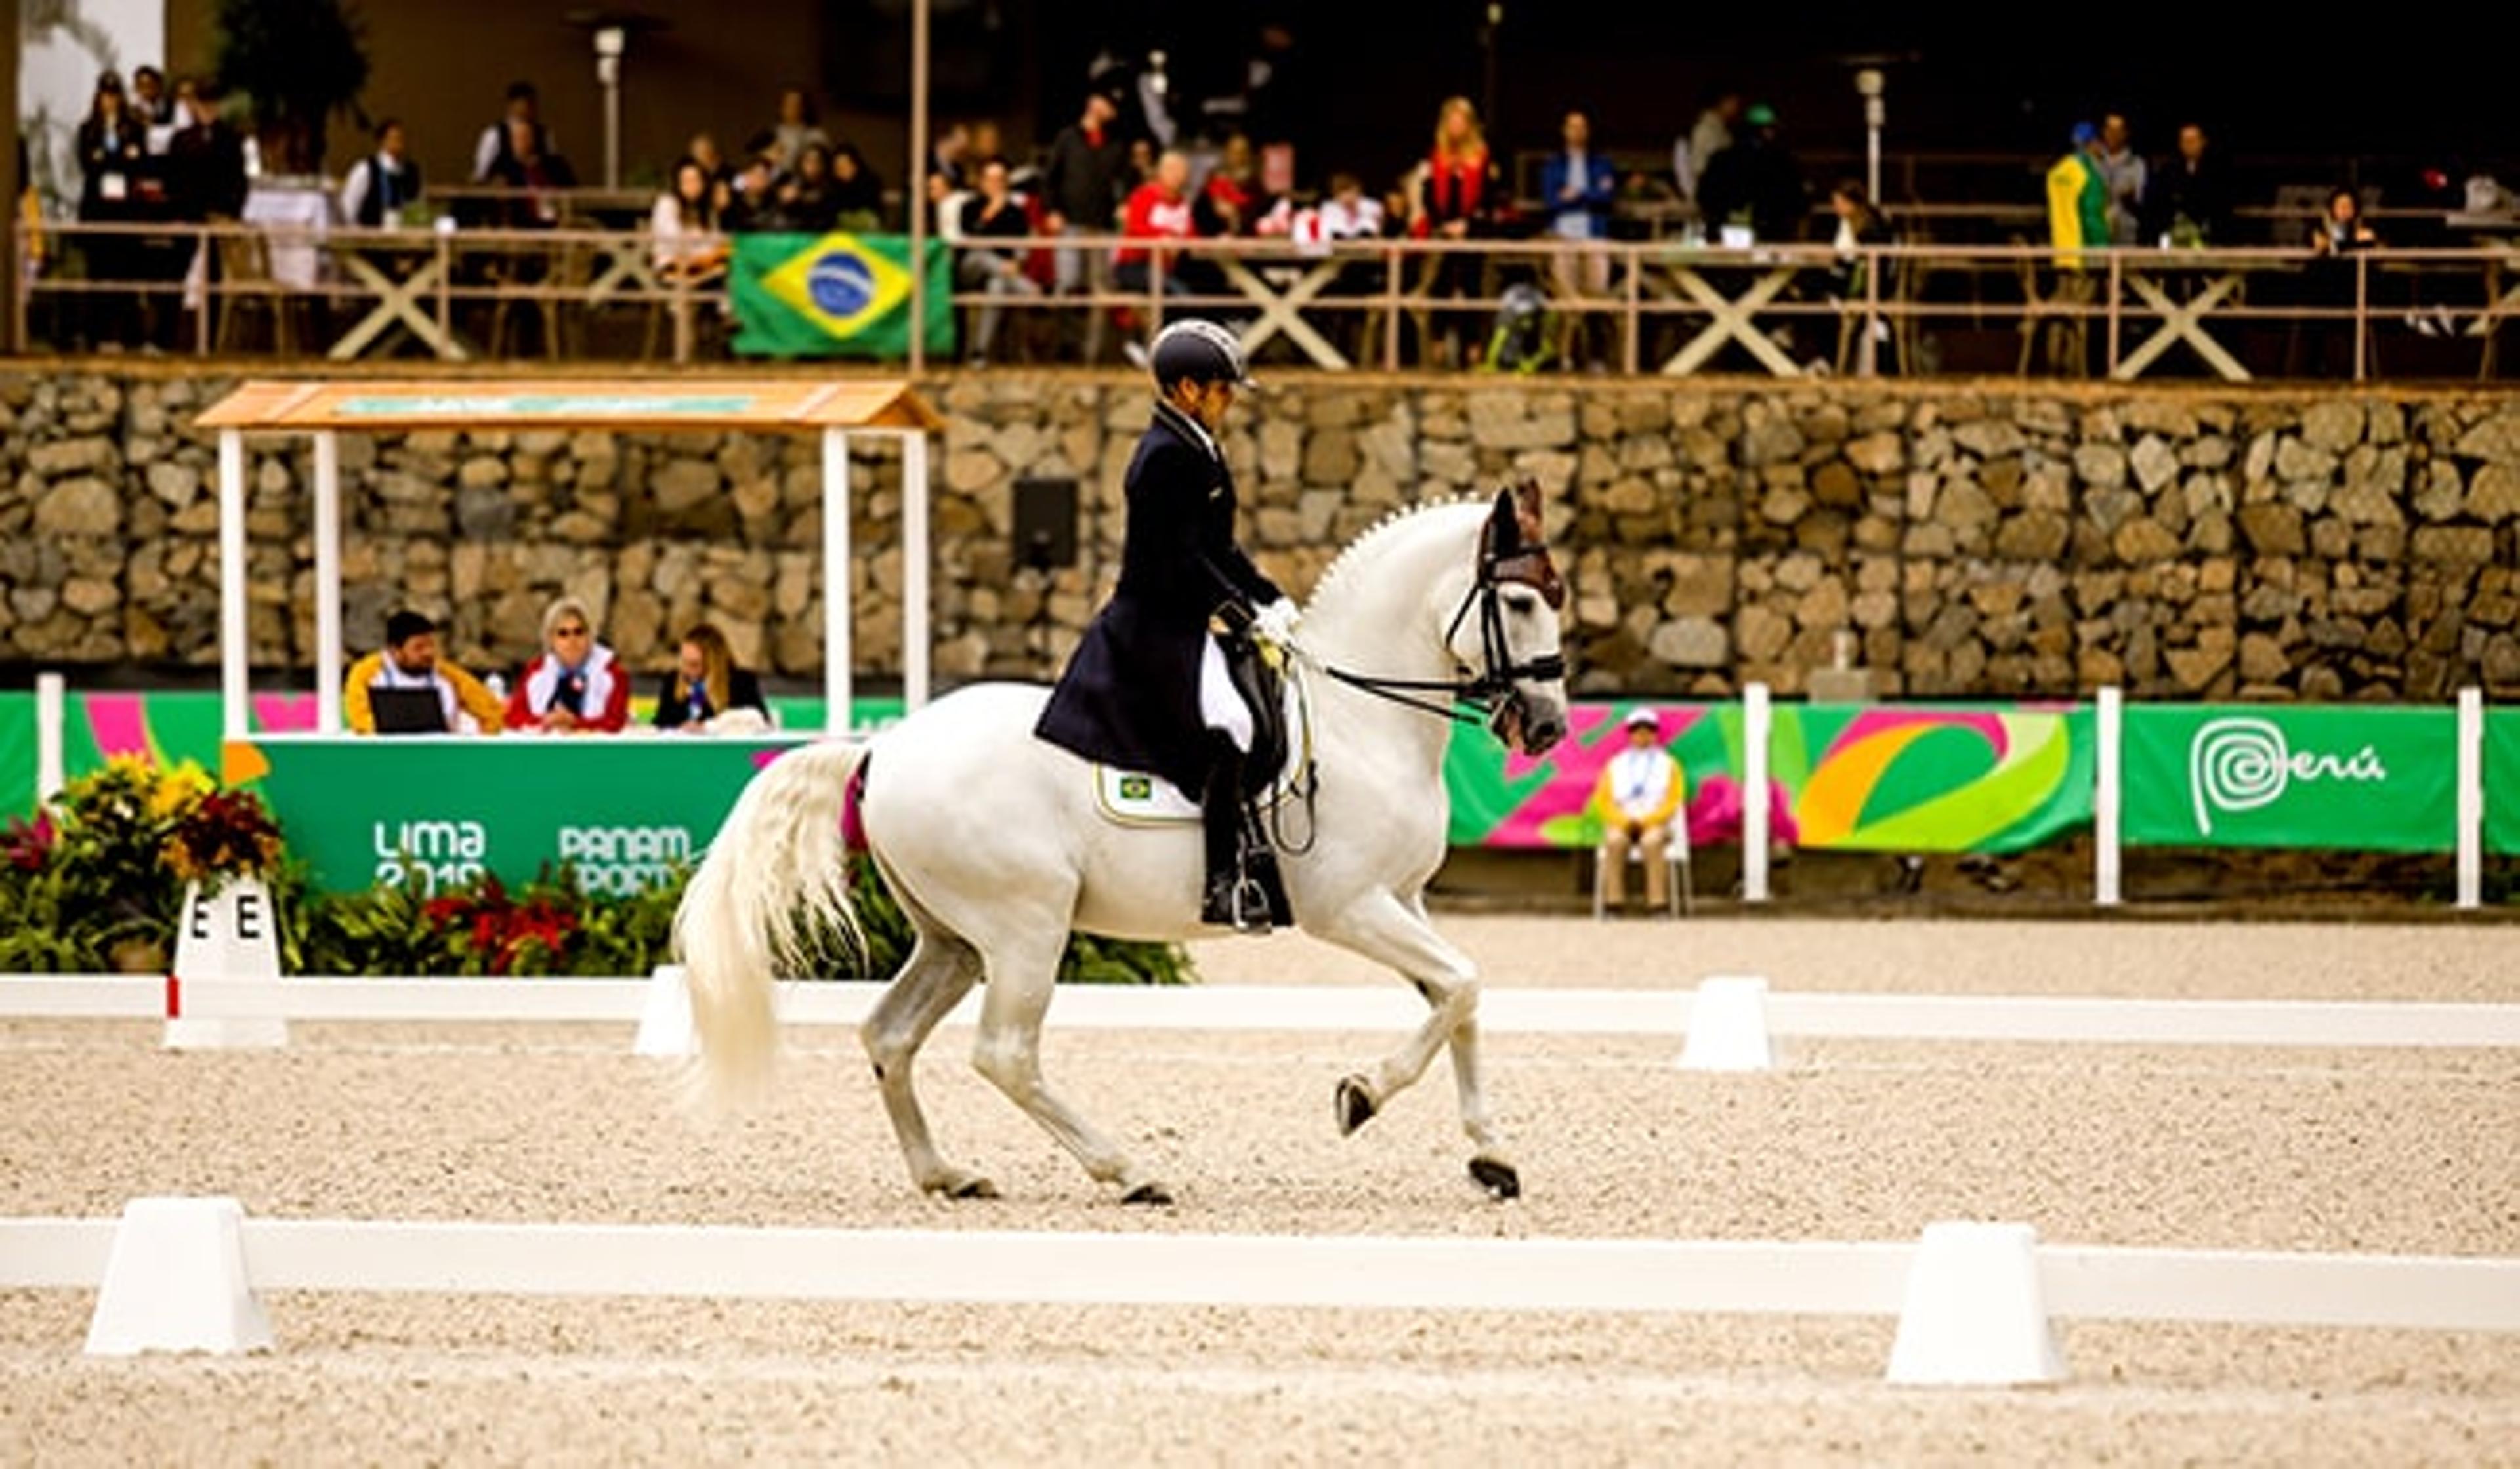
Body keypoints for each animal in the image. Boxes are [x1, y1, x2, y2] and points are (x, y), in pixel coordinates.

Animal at [680, 489, 1562, 1199]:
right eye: (1519, 601)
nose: (1549, 727)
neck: (1361, 721)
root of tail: (884, 745)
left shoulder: (1404, 897)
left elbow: (1458, 996)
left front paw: (1491, 1157)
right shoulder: (1349, 906)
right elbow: (1462, 985)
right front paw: (1362, 1095)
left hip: (953, 939)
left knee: (889, 1036)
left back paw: (948, 1174)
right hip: (1027, 926)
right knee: (1005, 1053)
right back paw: (1129, 1170)